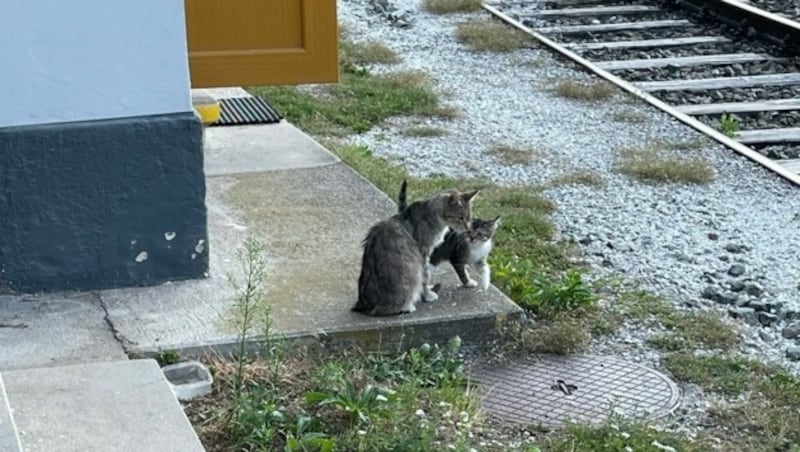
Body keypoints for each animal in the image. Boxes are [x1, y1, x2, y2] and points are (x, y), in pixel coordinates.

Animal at [354, 185, 478, 316]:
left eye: (469, 218)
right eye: (460, 218)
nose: (468, 230)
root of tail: (362, 306)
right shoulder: (423, 252)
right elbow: (425, 277)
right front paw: (427, 295)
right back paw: (407, 306)